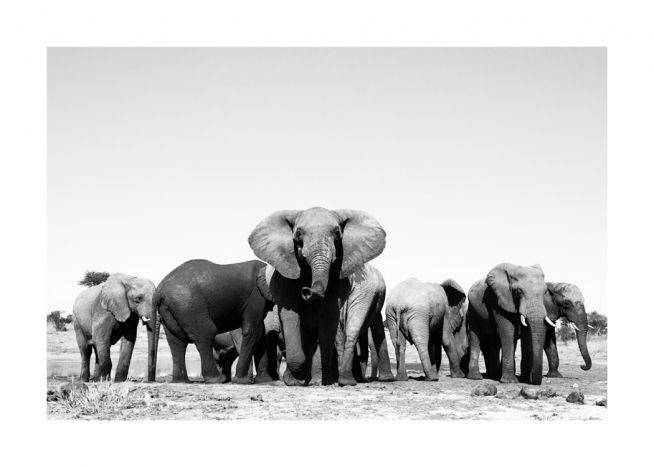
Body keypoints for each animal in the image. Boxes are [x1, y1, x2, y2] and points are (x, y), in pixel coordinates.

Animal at [249, 207, 395, 386]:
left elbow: (327, 315)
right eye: (298, 234)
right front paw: (295, 381)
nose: (306, 290)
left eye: (337, 234)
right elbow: (291, 315)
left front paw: (318, 381)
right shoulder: (284, 274)